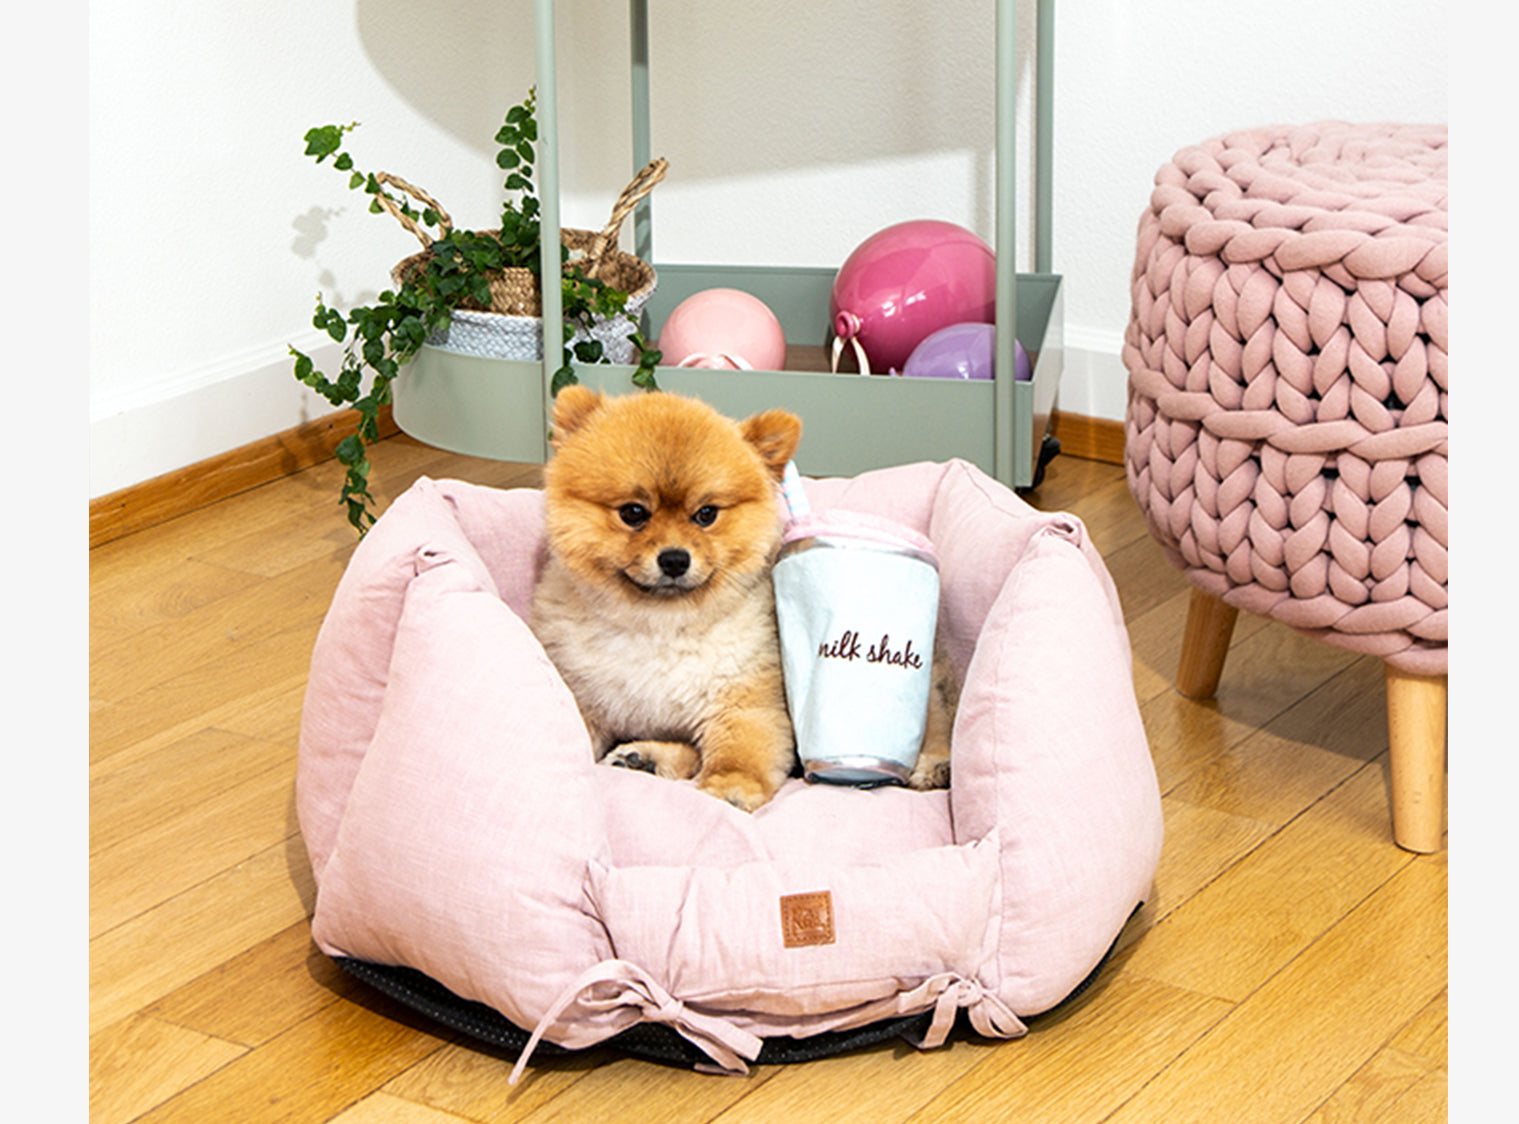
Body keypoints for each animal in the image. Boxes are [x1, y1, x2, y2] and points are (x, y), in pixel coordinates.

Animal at [531, 386, 956, 811]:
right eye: (633, 513)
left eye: (706, 514)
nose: (674, 559)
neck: (661, 626)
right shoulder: (585, 698)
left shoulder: (746, 701)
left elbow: (740, 752)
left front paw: (730, 788)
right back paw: (644, 758)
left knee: (938, 723)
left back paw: (935, 765)